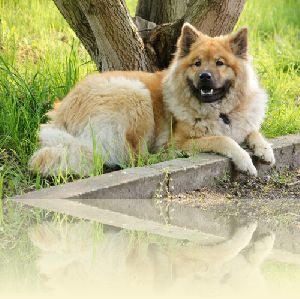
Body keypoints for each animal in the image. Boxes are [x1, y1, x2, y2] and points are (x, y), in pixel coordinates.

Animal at [29, 24, 276, 178]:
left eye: (220, 63)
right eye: (197, 63)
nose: (205, 76)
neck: (220, 112)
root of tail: (62, 115)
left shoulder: (242, 122)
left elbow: (252, 131)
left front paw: (265, 150)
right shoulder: (181, 139)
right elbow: (223, 140)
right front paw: (245, 160)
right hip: (136, 95)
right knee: (137, 158)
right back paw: (166, 156)